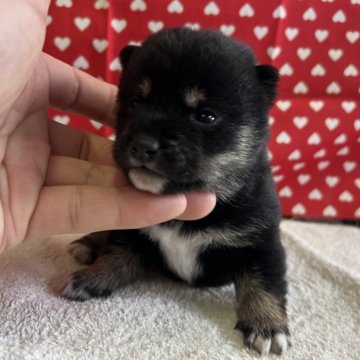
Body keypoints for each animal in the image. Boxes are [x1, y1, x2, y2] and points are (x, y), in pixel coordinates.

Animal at [61, 27, 290, 354]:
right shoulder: (131, 228)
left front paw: (267, 325)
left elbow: (264, 281)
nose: (143, 145)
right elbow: (117, 255)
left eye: (206, 116)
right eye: (136, 102)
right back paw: (87, 244)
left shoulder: (261, 240)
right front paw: (93, 278)